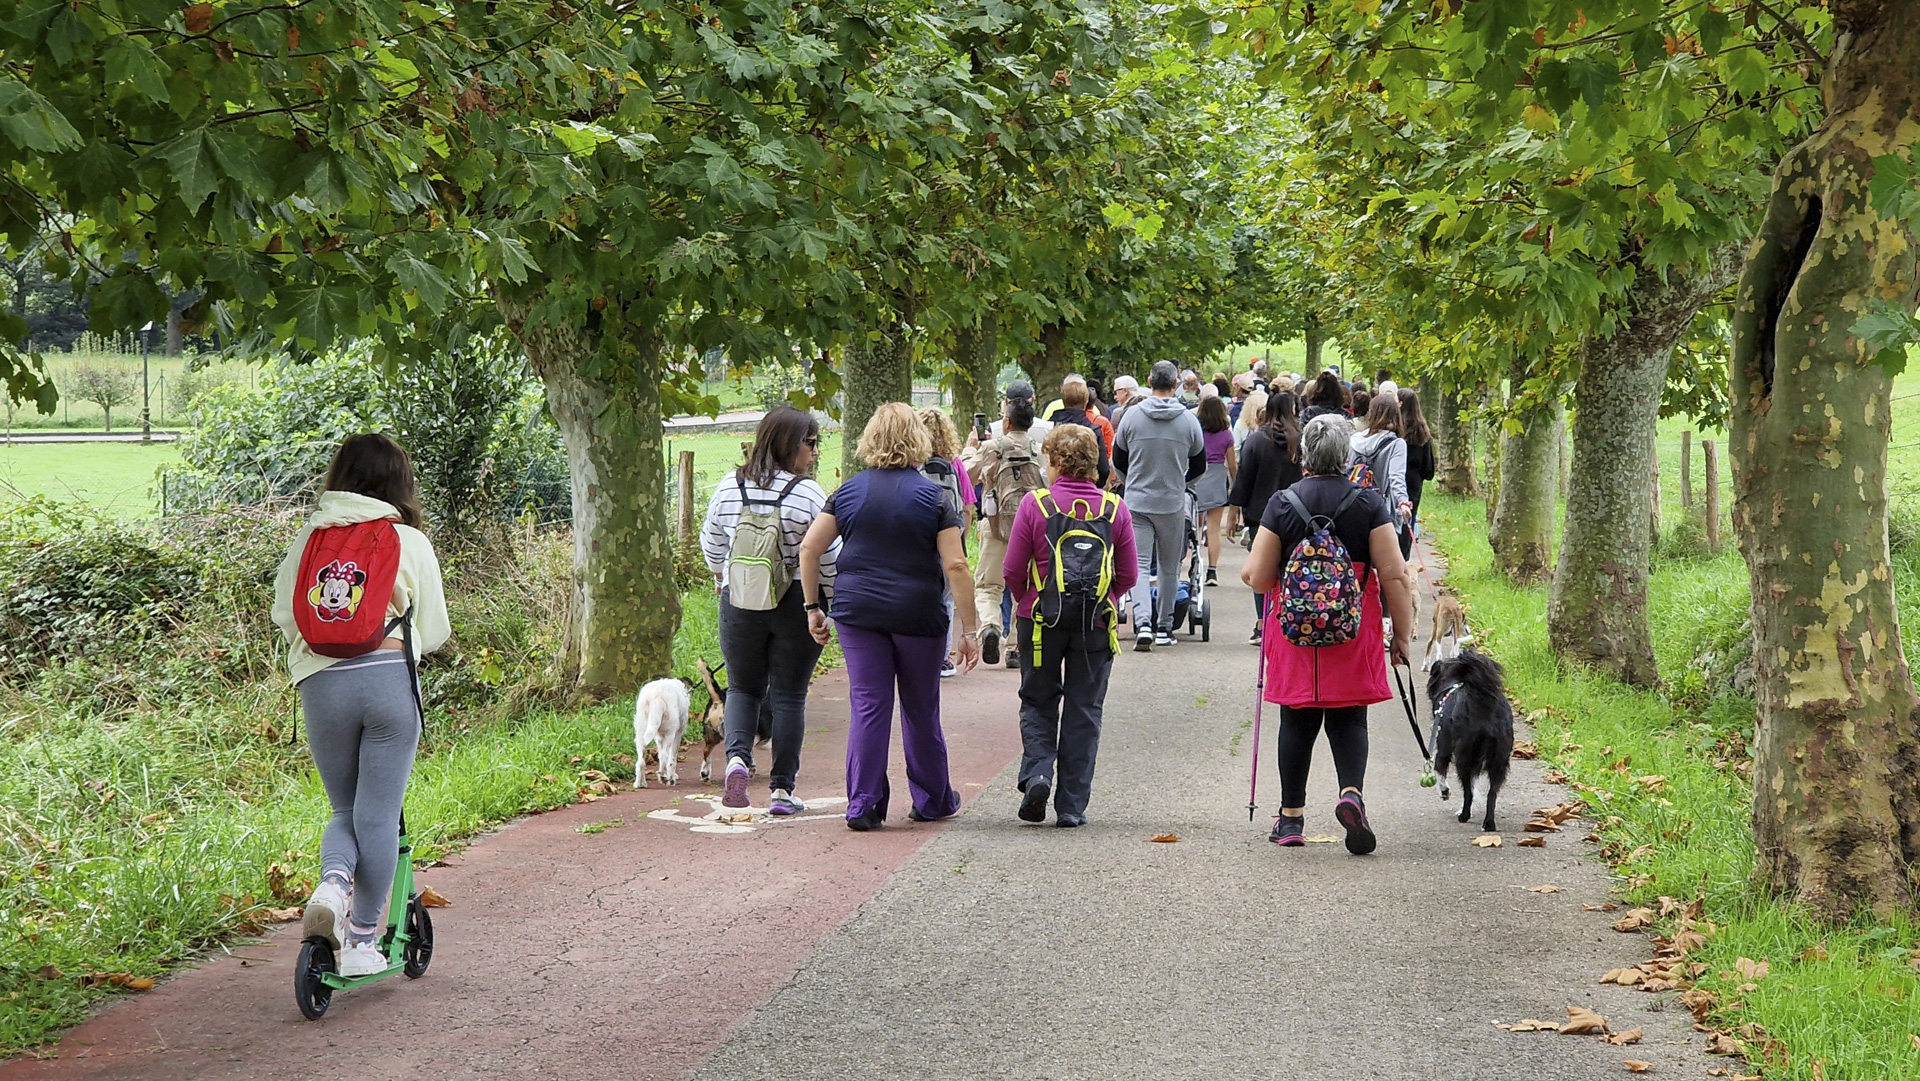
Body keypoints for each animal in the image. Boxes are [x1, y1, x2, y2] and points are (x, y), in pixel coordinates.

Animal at [1427, 649, 1514, 831]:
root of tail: (1483, 703)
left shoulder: (1444, 746)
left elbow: (1439, 769)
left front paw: (1444, 791)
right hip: (1499, 759)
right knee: (1491, 794)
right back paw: (1488, 823)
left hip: (1465, 756)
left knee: (1467, 790)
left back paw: (1464, 815)